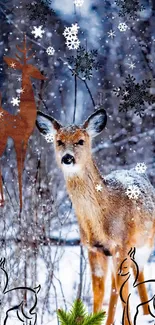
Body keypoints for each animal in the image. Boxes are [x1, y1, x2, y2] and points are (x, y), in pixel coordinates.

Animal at [0, 34, 46, 210]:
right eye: (32, 68)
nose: (44, 76)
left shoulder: (24, 140)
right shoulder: (19, 139)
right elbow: (19, 168)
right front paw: (20, 208)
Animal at [35, 108, 155, 324]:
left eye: (81, 141)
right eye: (59, 141)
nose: (67, 158)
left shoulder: (121, 245)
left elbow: (121, 291)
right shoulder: (93, 248)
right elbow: (98, 292)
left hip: (145, 243)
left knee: (136, 276)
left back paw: (146, 315)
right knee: (125, 281)